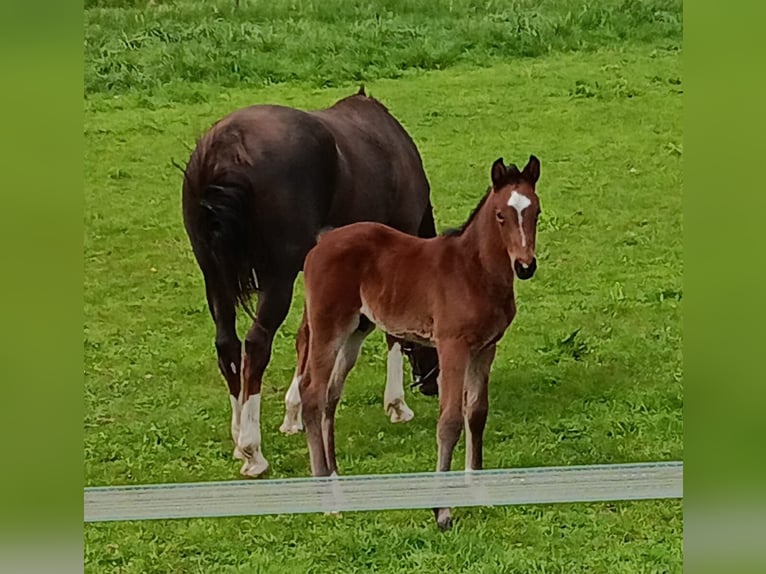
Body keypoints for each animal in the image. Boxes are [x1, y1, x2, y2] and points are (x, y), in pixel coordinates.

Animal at [181, 88, 441, 478]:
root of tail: (227, 147)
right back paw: (253, 450)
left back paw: (239, 437)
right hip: (277, 277)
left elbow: (307, 334)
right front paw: (396, 404)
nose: (432, 386)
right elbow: (390, 333)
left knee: (227, 345)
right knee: (256, 345)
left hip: (214, 274)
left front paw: (295, 413)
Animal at [296, 155, 541, 529]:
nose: (526, 266)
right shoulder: (452, 346)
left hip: (356, 330)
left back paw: (338, 482)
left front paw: (479, 492)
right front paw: (442, 511)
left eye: (536, 212)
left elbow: (477, 413)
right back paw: (327, 498)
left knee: (330, 397)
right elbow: (450, 420)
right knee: (312, 393)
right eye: (501, 215)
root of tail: (320, 243)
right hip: (328, 326)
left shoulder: (486, 348)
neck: (474, 271)